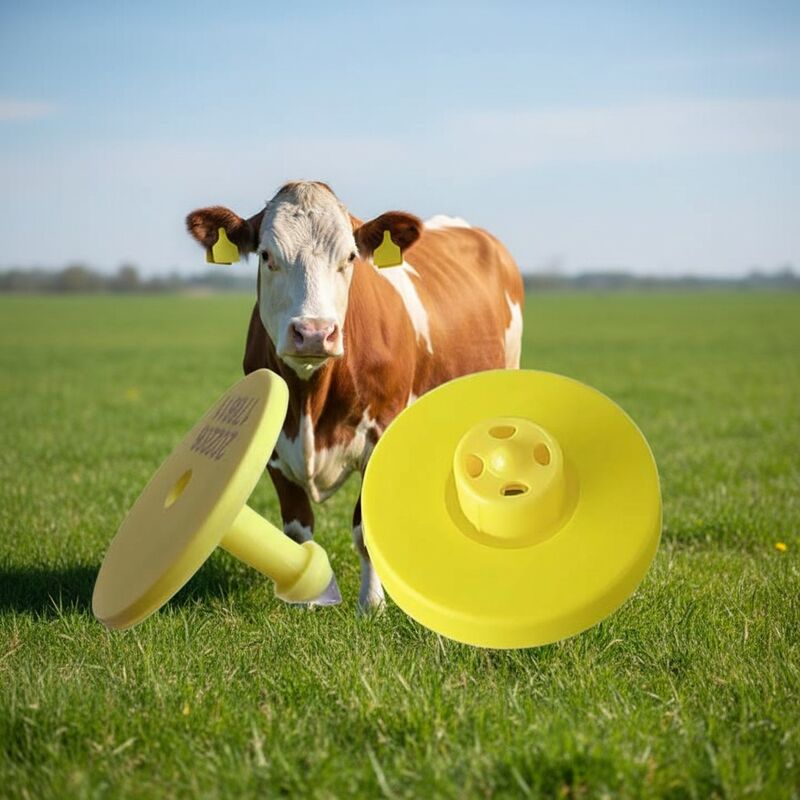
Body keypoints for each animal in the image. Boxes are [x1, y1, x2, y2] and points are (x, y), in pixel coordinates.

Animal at [186, 181, 524, 611]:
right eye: (266, 255)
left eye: (349, 257)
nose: (314, 332)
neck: (310, 403)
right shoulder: (278, 446)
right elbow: (298, 530)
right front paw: (307, 603)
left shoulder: (378, 433)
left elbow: (364, 532)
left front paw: (372, 604)